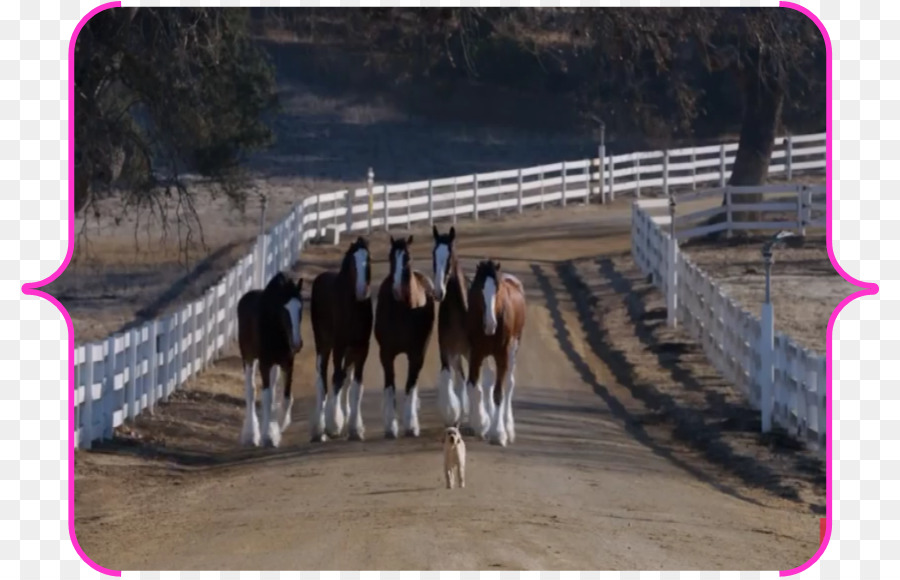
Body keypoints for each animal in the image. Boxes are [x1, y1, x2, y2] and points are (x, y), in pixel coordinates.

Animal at [237, 272, 304, 448]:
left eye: (300, 308)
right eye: (284, 309)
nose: (297, 343)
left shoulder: (287, 363)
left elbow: (286, 397)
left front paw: (277, 427)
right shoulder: (265, 363)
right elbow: (266, 397)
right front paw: (267, 436)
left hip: (275, 365)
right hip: (248, 358)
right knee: (251, 390)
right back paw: (250, 435)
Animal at [312, 237, 374, 444]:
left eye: (368, 260)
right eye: (353, 263)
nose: (363, 290)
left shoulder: (362, 348)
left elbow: (356, 386)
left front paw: (355, 429)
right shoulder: (339, 346)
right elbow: (336, 379)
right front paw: (334, 425)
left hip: (349, 351)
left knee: (346, 377)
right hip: (323, 344)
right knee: (322, 379)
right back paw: (318, 429)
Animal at [374, 233, 438, 438]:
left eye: (407, 257)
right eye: (390, 257)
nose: (395, 289)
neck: (403, 310)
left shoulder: (417, 354)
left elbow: (411, 384)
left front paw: (411, 425)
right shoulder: (386, 353)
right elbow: (390, 385)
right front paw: (390, 427)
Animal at [464, 260, 528, 446]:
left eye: (498, 289)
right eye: (478, 288)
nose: (490, 324)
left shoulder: (502, 355)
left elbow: (499, 392)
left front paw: (498, 433)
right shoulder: (476, 353)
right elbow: (474, 387)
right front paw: (480, 425)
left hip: (514, 347)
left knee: (509, 383)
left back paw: (508, 428)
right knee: (488, 381)